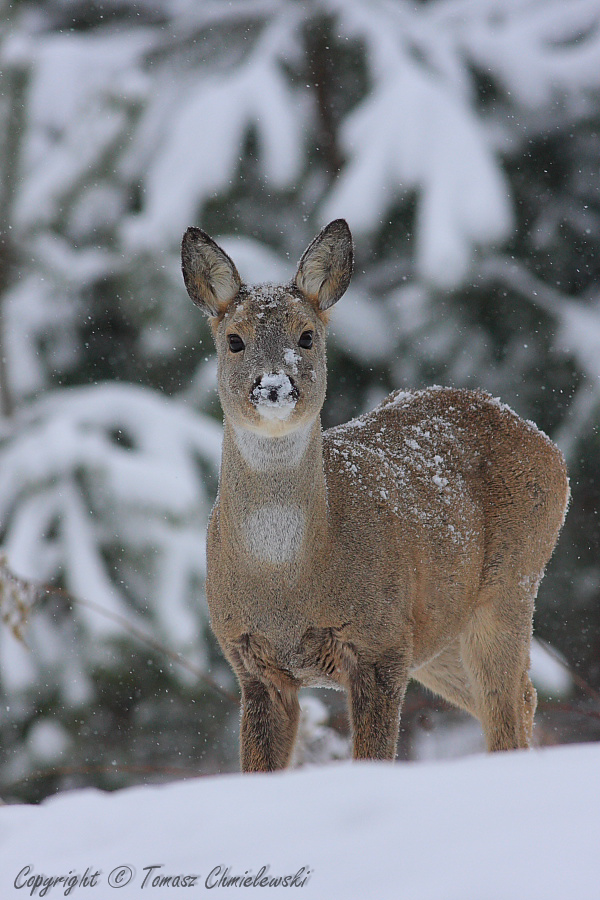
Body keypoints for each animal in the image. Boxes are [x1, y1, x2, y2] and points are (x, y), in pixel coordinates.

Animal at [180, 220, 568, 772]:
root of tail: (547, 445)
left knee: (508, 709)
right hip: (439, 630)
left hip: (512, 583)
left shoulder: (380, 643)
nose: (274, 386)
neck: (288, 581)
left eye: (307, 336)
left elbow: (374, 757)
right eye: (234, 339)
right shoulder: (251, 663)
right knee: (525, 695)